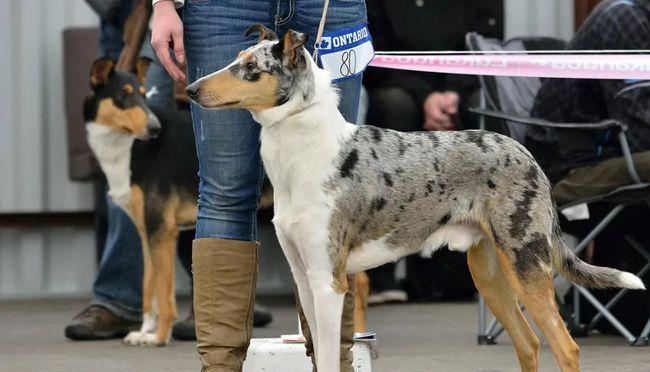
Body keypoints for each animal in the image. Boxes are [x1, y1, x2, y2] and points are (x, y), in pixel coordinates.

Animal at [83, 58, 196, 346]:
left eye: (145, 96)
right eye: (124, 95)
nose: (155, 129)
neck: (129, 147)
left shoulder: (162, 229)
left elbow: (164, 295)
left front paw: (158, 337)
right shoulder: (147, 231)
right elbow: (148, 287)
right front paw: (144, 331)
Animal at [185, 24, 644, 370]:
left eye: (250, 67)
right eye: (236, 58)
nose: (191, 88)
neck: (303, 153)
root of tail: (527, 153)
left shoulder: (328, 281)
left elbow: (331, 358)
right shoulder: (304, 276)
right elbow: (315, 354)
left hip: (525, 263)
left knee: (566, 347)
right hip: (490, 273)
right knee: (529, 343)